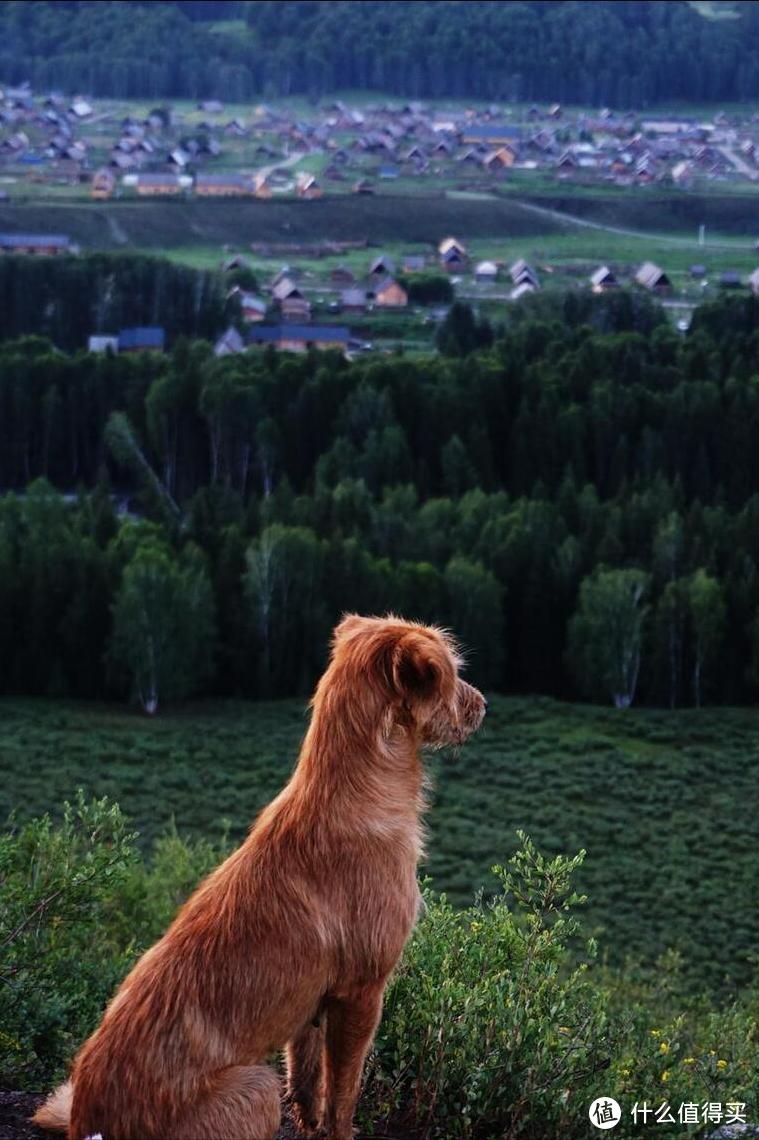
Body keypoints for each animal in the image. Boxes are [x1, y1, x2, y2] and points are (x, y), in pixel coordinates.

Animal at [34, 615, 485, 1140]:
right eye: (451, 674)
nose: (484, 705)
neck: (352, 790)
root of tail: (88, 1121)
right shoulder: (361, 993)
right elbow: (344, 1093)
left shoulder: (313, 1004)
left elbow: (308, 1081)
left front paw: (310, 1124)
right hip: (256, 1086)